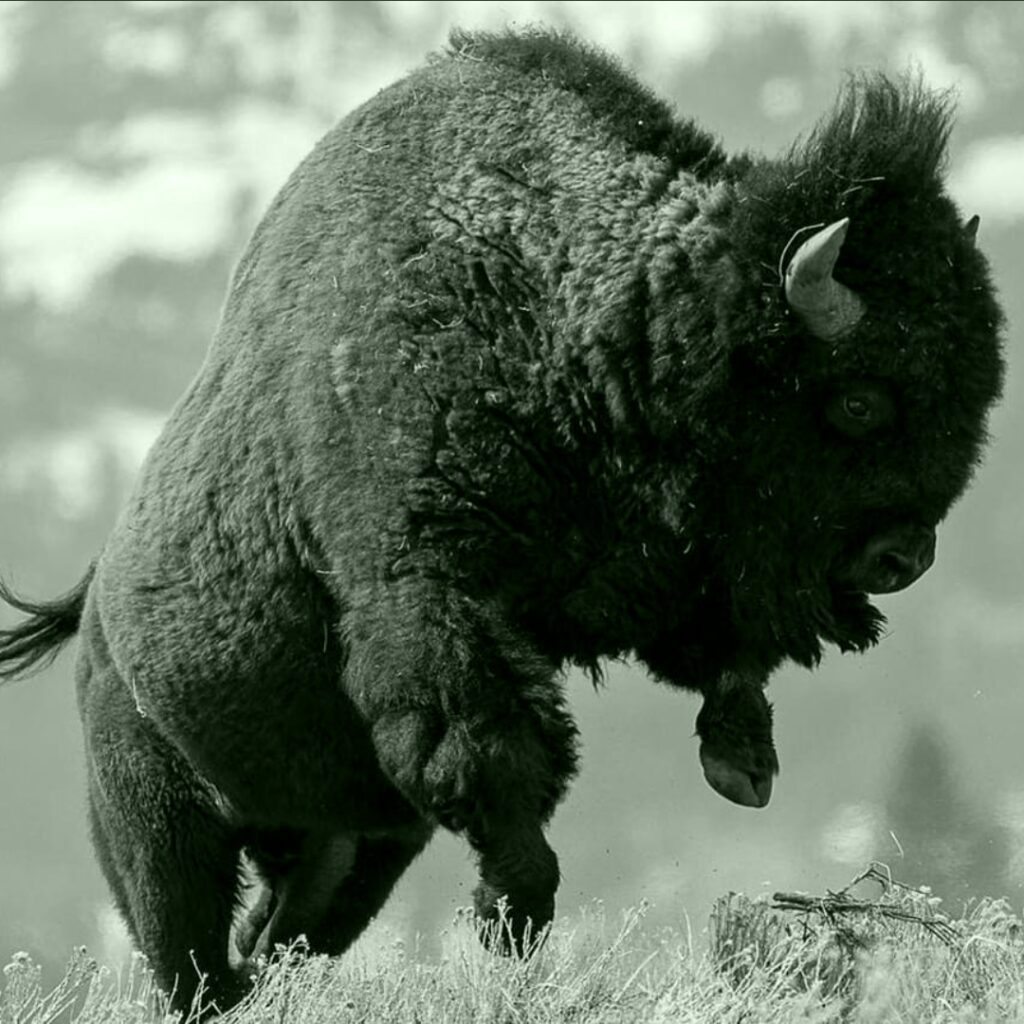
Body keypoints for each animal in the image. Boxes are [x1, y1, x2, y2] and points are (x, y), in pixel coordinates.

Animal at [0, 28, 1003, 1016]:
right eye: (861, 402)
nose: (905, 556)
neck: (564, 302)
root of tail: (95, 619)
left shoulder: (648, 573)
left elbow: (711, 649)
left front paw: (741, 759)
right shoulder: (429, 600)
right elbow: (496, 754)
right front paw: (510, 916)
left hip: (349, 849)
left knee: (281, 937)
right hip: (158, 829)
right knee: (192, 955)